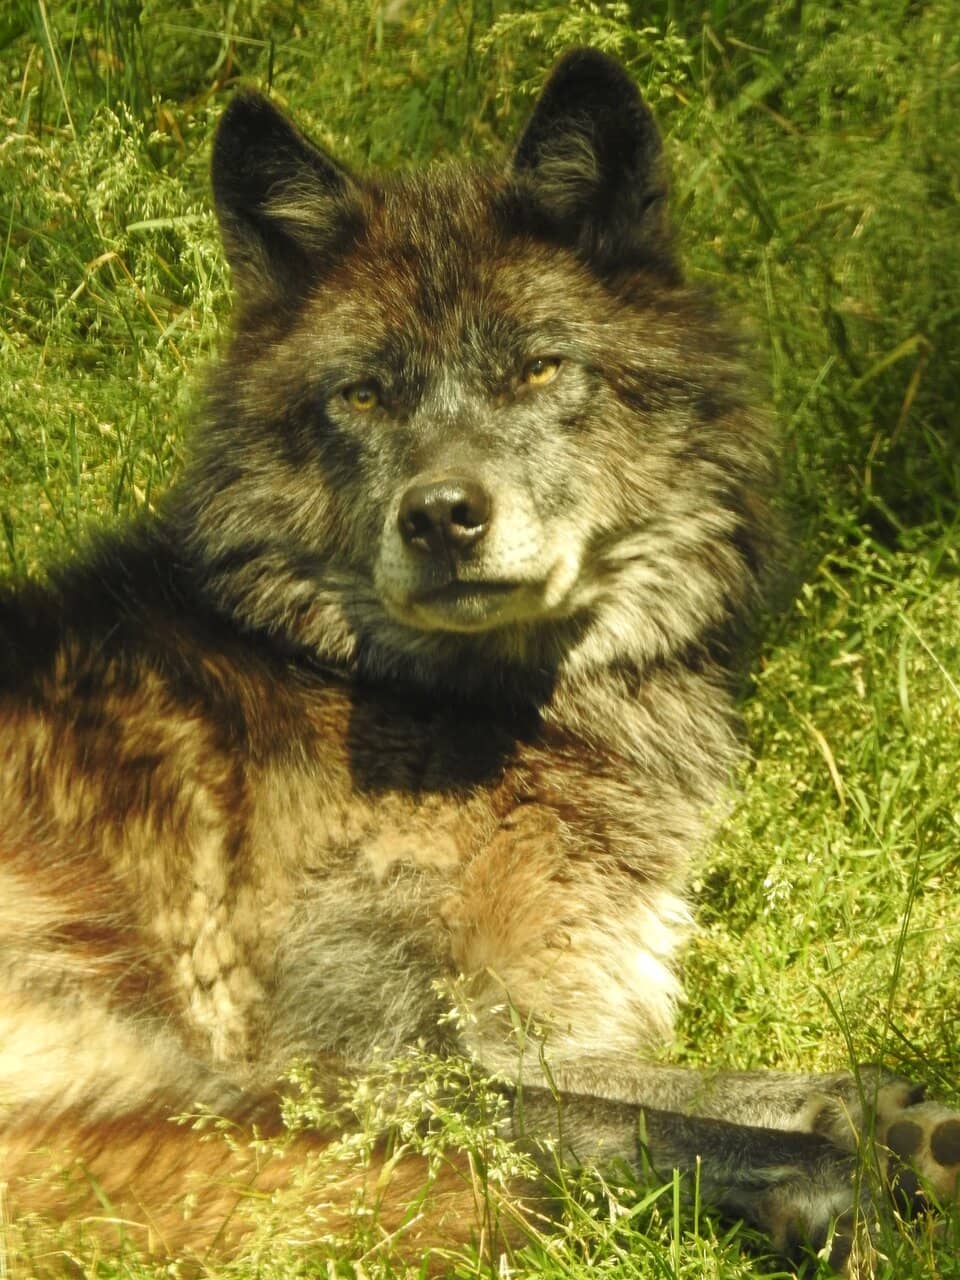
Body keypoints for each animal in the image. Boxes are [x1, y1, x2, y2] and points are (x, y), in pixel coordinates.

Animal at [0, 48, 957, 1276]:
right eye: (362, 393)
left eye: (539, 371)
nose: (442, 515)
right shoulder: (348, 1048)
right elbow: (601, 1112)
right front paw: (843, 1162)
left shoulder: (543, 1009)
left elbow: (721, 1077)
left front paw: (886, 1109)